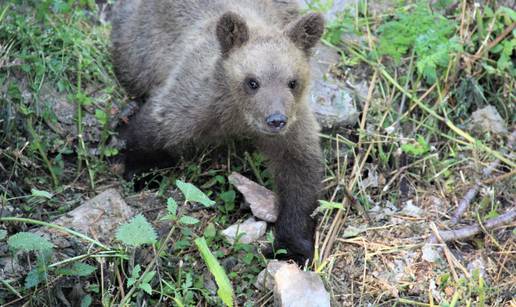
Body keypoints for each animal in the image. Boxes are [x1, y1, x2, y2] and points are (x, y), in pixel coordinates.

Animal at [111, 0, 324, 264]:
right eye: (252, 81)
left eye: (292, 82)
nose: (276, 120)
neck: (238, 117)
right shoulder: (194, 102)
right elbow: (154, 128)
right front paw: (139, 172)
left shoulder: (293, 130)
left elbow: (300, 179)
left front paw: (291, 248)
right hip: (137, 47)